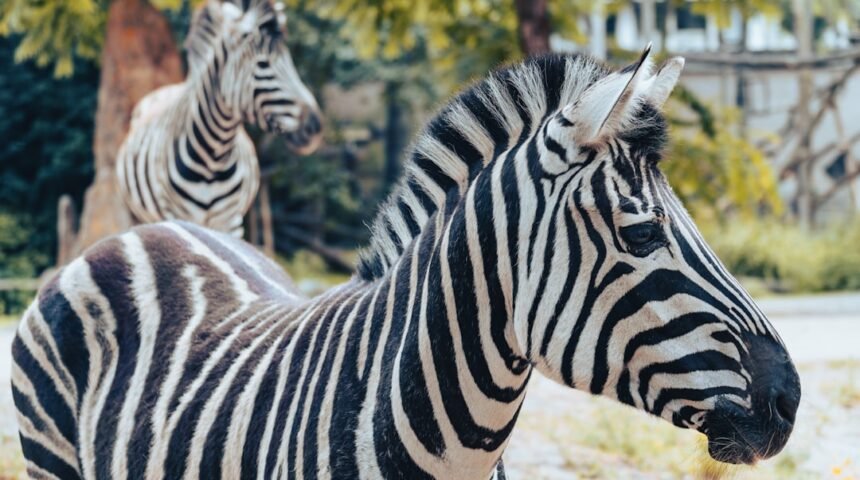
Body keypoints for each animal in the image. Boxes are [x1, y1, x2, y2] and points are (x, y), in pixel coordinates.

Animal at [116, 0, 322, 237]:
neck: (212, 157)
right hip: (139, 214)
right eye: (263, 64)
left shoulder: (231, 221)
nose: (315, 126)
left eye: (291, 62)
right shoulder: (176, 215)